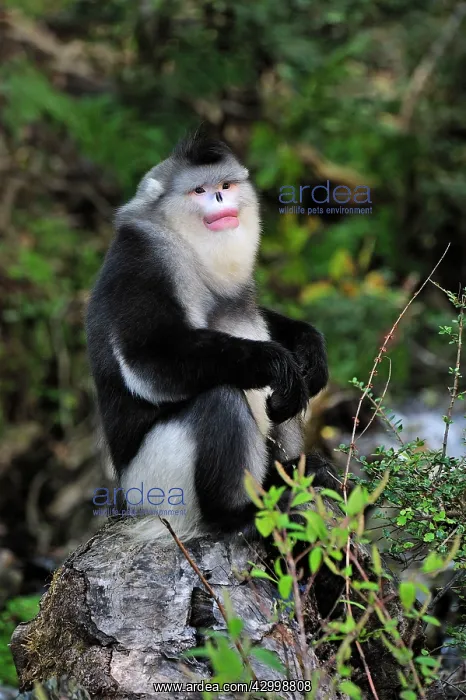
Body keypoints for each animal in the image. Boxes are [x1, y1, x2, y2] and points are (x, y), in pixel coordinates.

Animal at [86, 133, 338, 543]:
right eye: (199, 190)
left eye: (225, 185)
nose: (220, 198)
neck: (184, 241)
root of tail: (125, 503)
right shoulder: (143, 262)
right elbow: (148, 360)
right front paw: (273, 362)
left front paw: (309, 347)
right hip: (157, 489)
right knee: (220, 398)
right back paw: (237, 514)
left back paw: (291, 472)